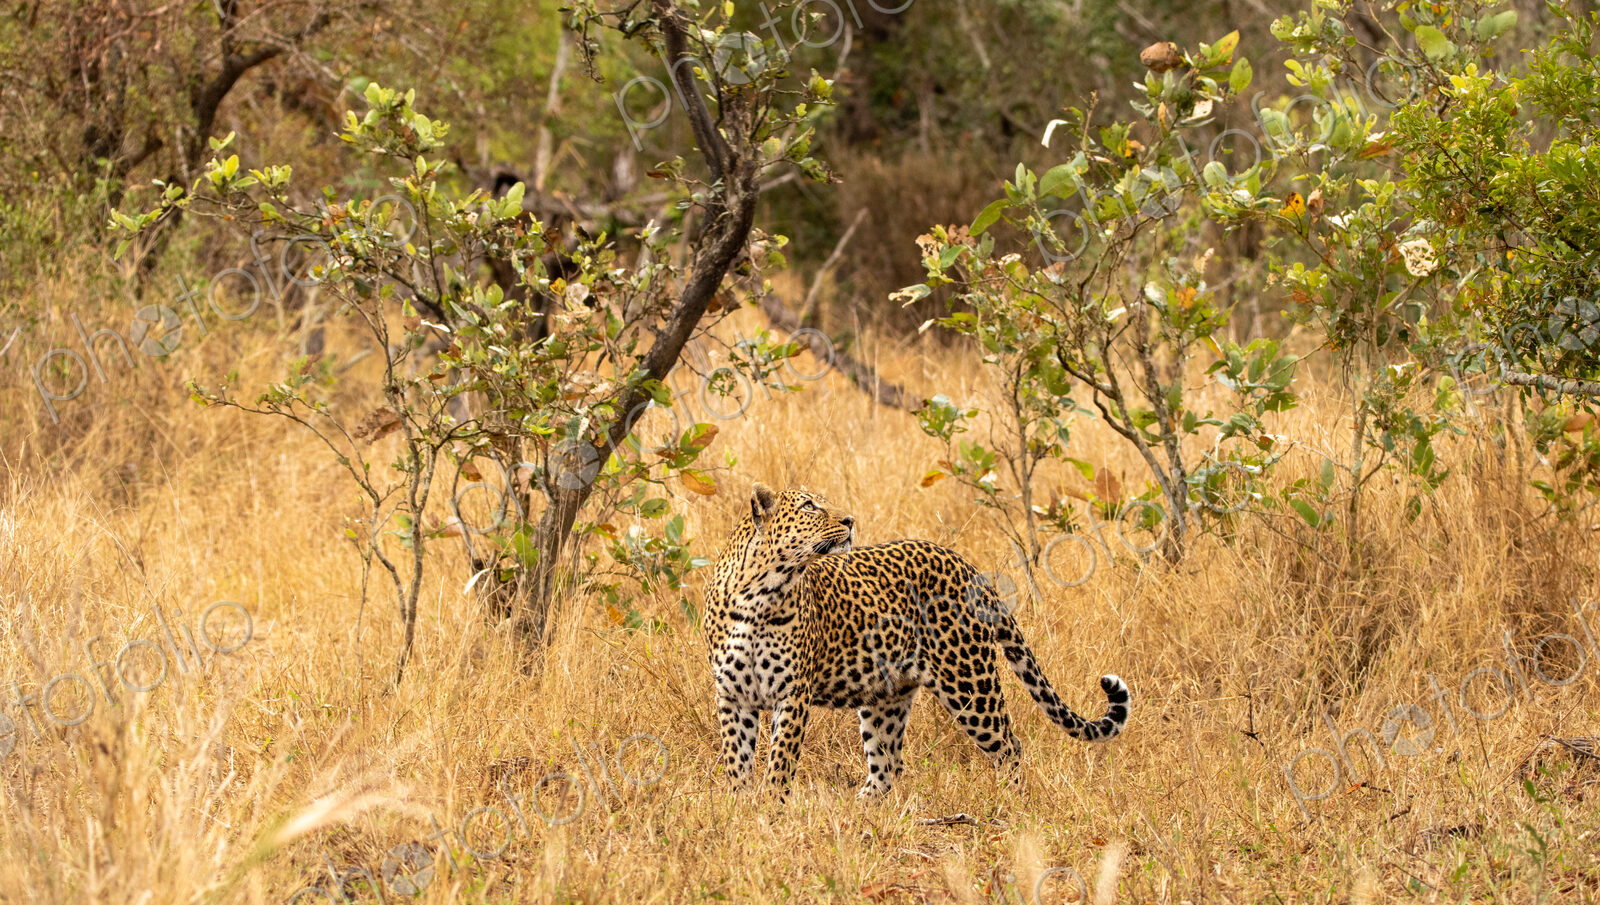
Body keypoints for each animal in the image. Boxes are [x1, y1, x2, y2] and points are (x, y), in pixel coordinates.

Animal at [703, 482, 1131, 798]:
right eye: (810, 506)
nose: (850, 519)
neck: (761, 593)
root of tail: (969, 568)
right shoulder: (732, 694)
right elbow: (736, 759)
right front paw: (740, 807)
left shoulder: (793, 693)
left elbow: (780, 761)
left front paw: (771, 810)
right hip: (887, 695)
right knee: (888, 764)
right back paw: (861, 808)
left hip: (969, 685)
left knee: (1010, 746)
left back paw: (1013, 805)